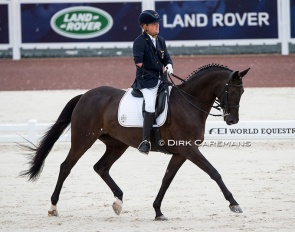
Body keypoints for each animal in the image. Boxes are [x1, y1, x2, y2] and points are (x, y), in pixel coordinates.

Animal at [20, 64, 251, 221]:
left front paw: (158, 211)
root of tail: (85, 95)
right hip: (83, 139)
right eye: (231, 91)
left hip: (116, 144)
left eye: (242, 92)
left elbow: (166, 179)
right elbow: (214, 172)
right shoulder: (189, 149)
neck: (189, 103)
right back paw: (53, 208)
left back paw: (118, 202)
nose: (232, 120)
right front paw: (234, 204)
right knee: (66, 167)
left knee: (100, 167)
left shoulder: (180, 153)